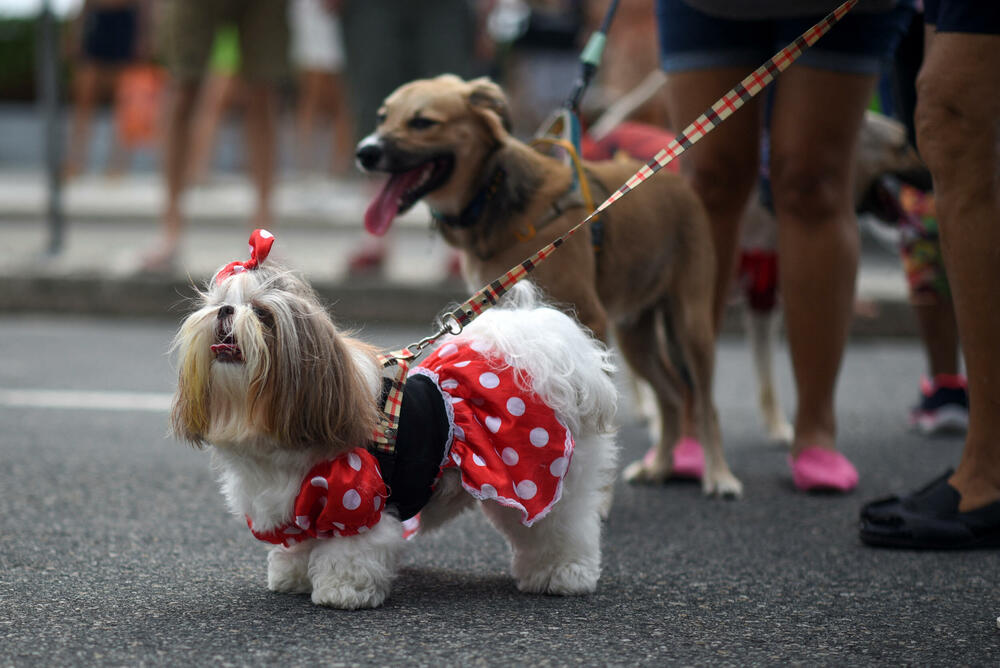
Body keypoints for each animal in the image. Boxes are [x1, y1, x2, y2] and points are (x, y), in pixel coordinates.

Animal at [176, 231, 620, 612]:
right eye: (216, 302)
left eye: (262, 314)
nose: (225, 311)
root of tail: (544, 354)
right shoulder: (295, 506)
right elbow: (298, 543)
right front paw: (294, 576)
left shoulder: (356, 497)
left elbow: (350, 552)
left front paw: (342, 591)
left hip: (548, 476)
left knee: (564, 527)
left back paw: (563, 574)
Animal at [356, 77, 740, 496]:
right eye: (382, 117)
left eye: (423, 122)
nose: (365, 152)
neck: (492, 196)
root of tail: (675, 180)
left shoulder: (589, 318)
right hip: (635, 336)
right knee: (670, 395)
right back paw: (659, 466)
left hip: (691, 324)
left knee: (704, 403)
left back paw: (720, 476)